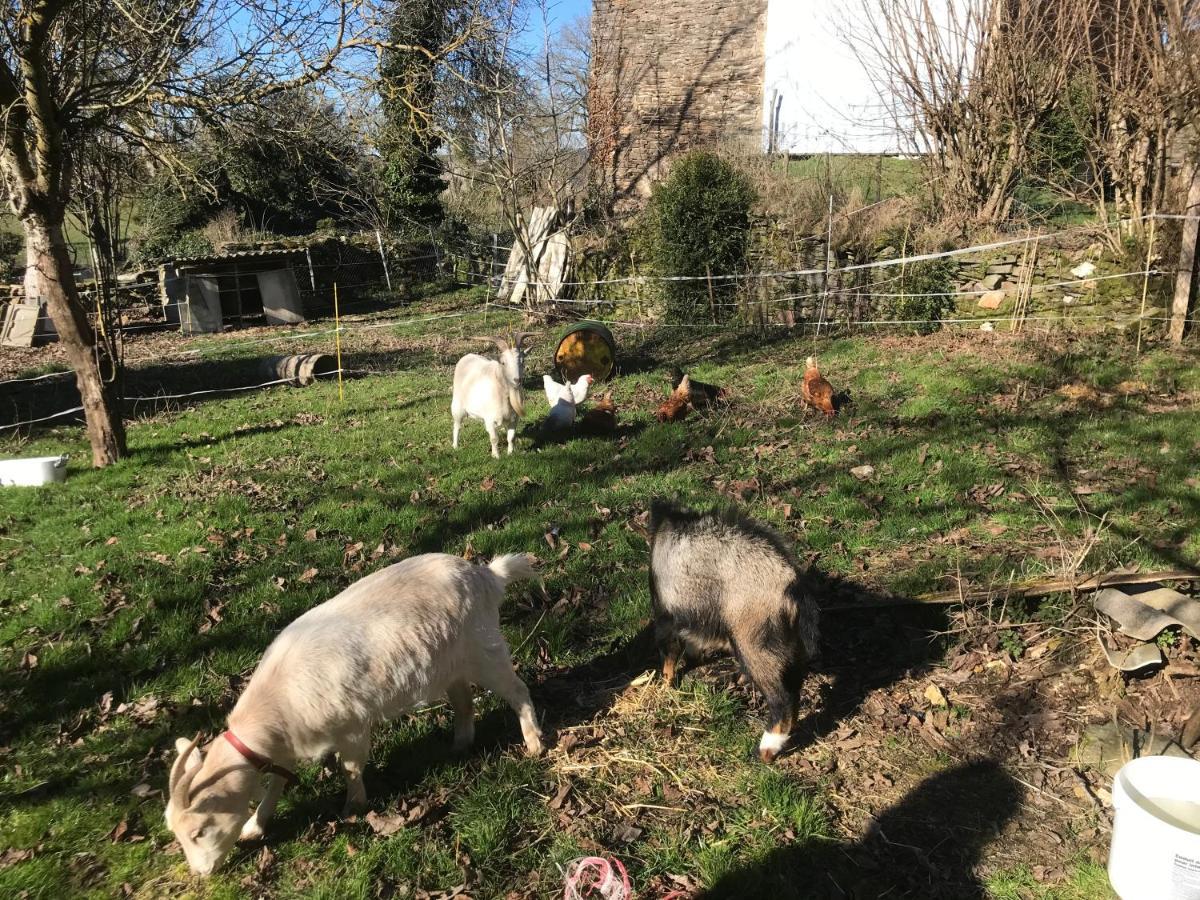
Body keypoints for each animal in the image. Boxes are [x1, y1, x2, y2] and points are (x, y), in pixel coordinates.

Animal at [163, 554, 544, 878]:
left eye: (199, 831)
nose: (200, 874)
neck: (276, 700)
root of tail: (487, 575)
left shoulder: (352, 727)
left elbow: (350, 768)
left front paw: (352, 807)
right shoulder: (286, 744)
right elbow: (276, 783)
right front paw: (254, 826)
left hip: (484, 650)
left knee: (518, 691)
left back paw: (534, 743)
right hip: (450, 665)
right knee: (464, 701)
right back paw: (460, 746)